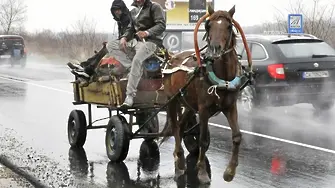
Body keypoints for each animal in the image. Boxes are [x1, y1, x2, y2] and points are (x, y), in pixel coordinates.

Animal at [161, 4, 245, 185]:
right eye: (208, 25)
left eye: (229, 26)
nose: (214, 49)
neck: (223, 78)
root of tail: (171, 58)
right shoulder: (204, 109)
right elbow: (203, 140)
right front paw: (202, 173)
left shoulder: (230, 106)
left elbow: (236, 136)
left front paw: (230, 171)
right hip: (172, 100)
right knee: (175, 127)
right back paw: (179, 161)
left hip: (189, 105)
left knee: (181, 126)